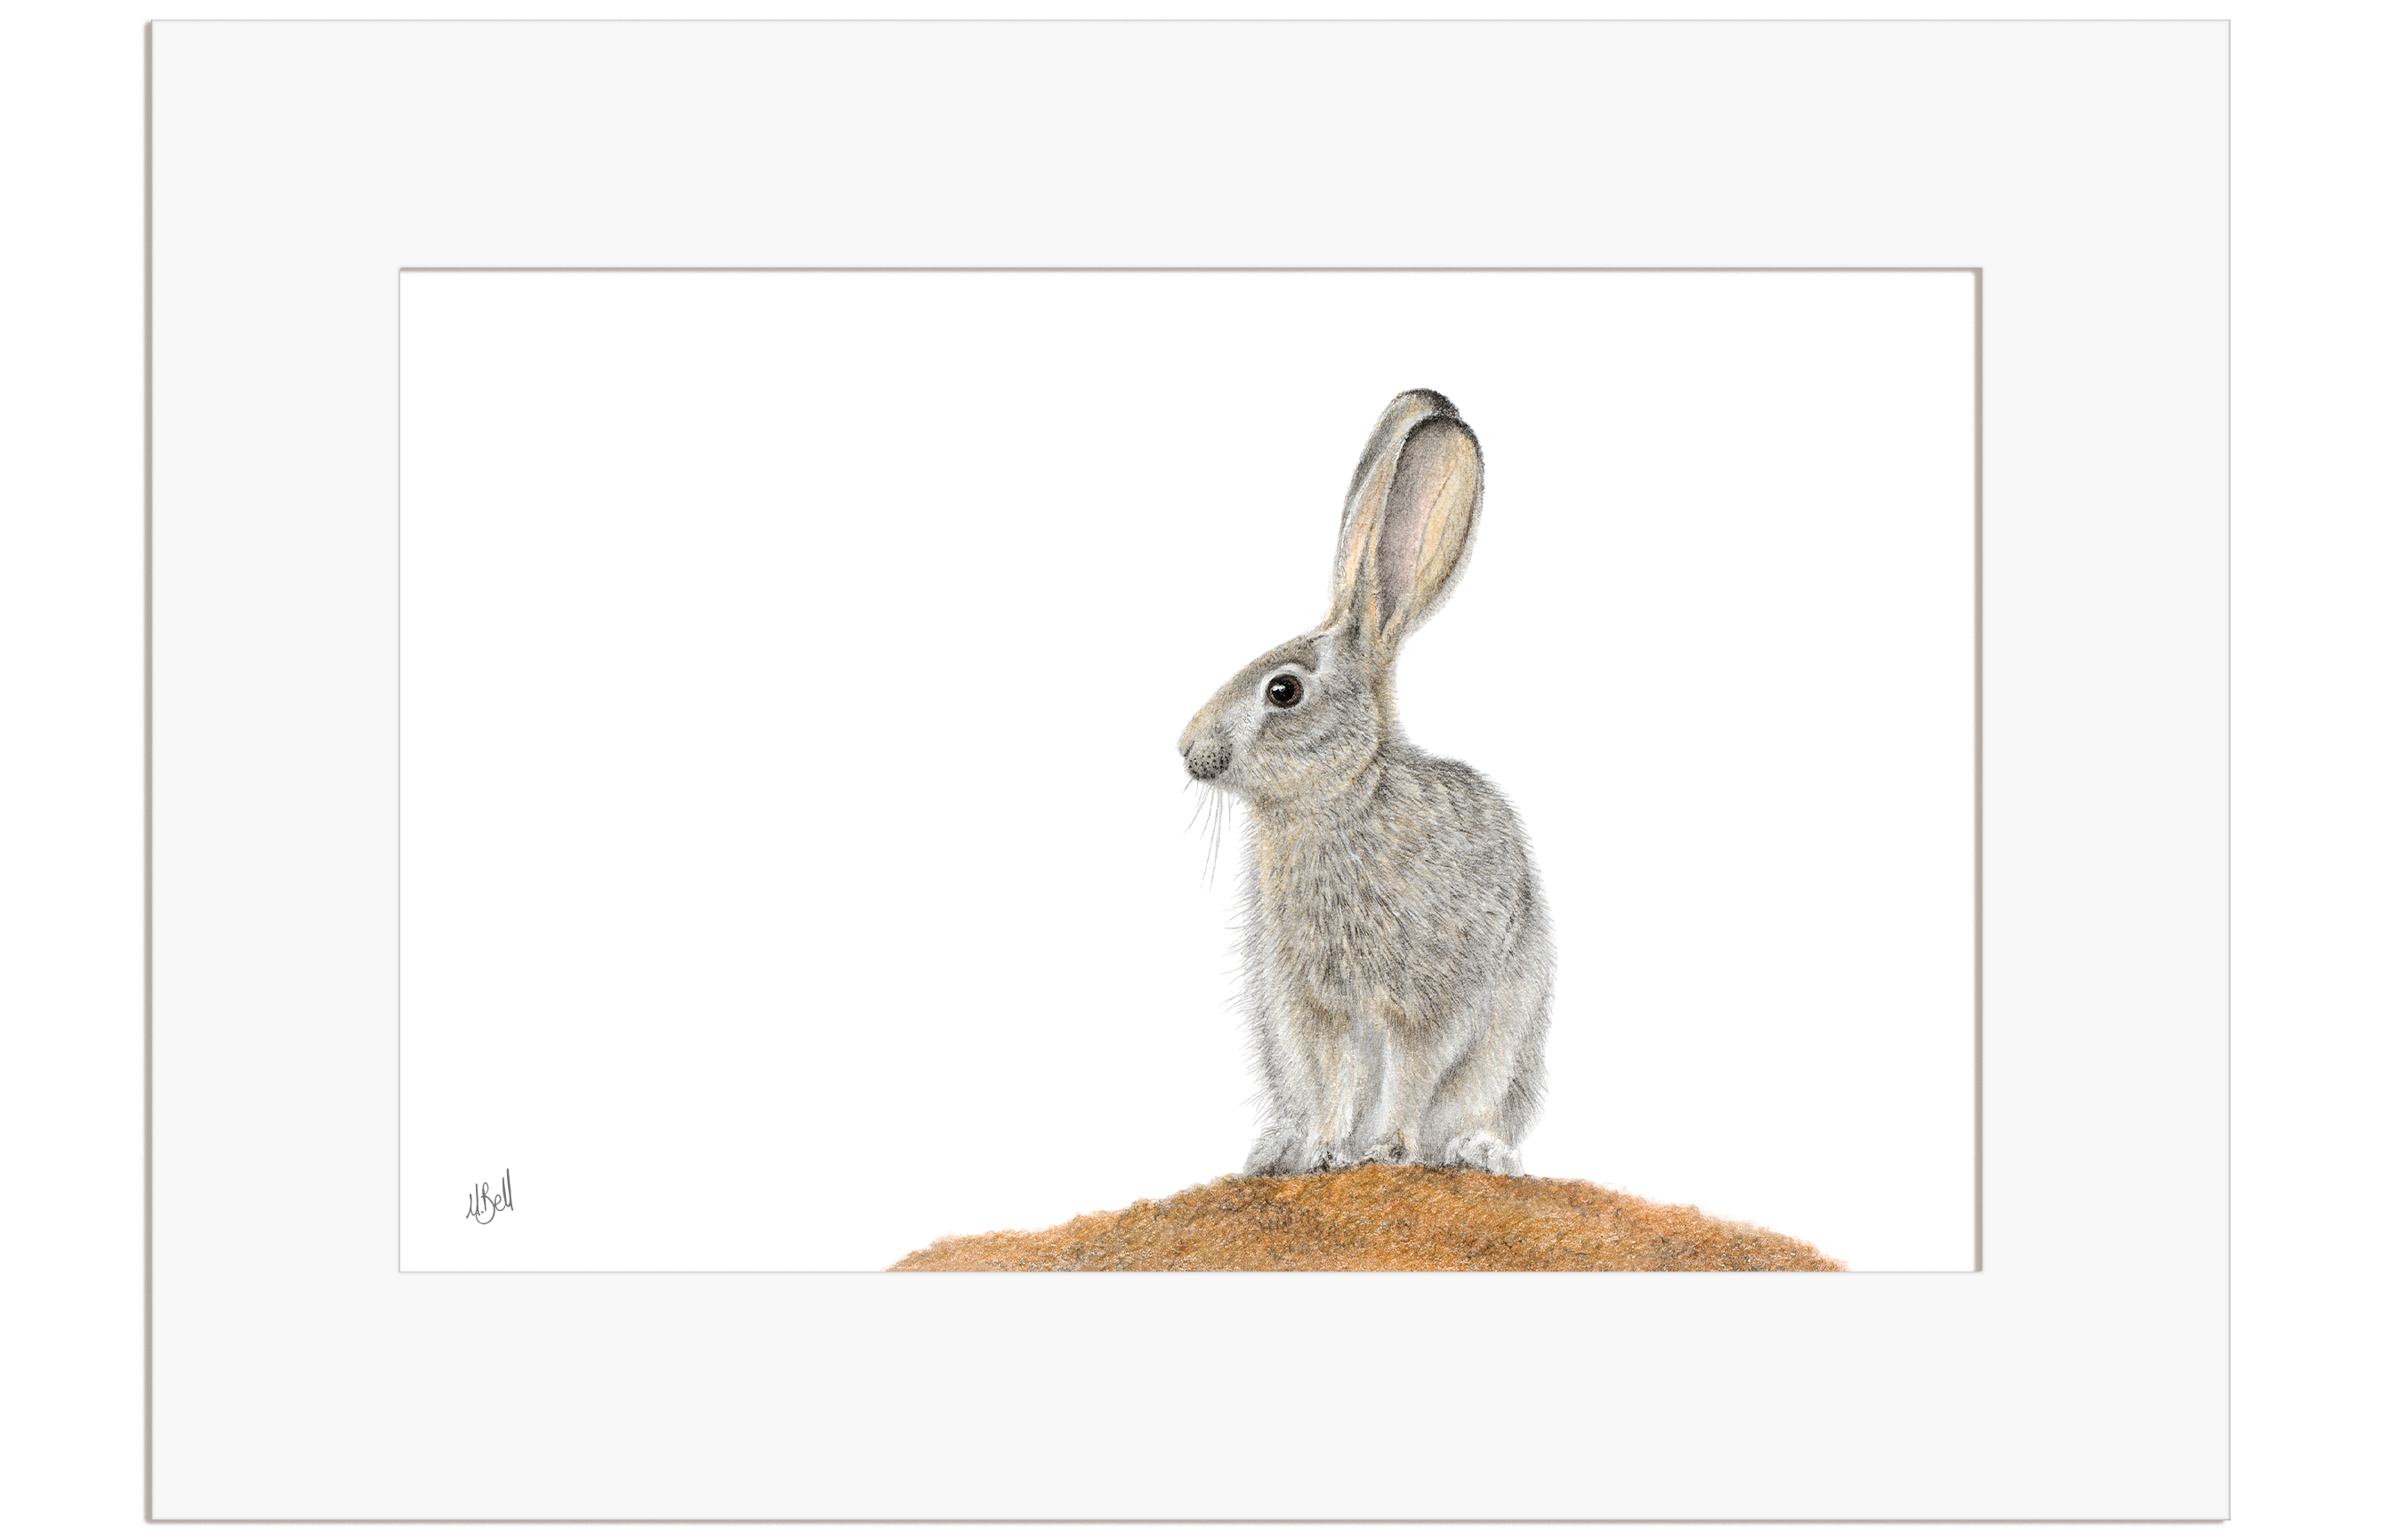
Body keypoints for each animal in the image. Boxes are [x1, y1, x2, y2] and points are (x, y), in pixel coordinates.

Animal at [1178, 389, 1553, 1179]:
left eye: (1283, 692)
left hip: (1506, 1048)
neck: (1342, 800)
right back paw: (1277, 1148)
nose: (1189, 754)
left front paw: (1388, 1150)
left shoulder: (1428, 998)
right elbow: (1338, 1077)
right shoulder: (1315, 1005)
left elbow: (1410, 1073)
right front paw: (1325, 1151)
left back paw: (1476, 1151)